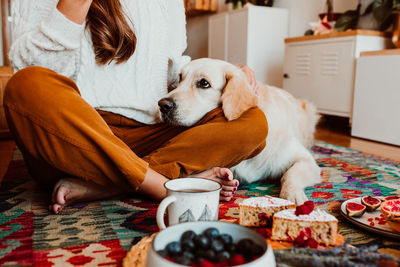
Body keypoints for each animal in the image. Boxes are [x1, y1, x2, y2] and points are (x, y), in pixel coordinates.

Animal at [158, 58, 320, 205]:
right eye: (180, 78)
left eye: (204, 83)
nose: (162, 105)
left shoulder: (305, 159)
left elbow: (289, 175)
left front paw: (293, 195)